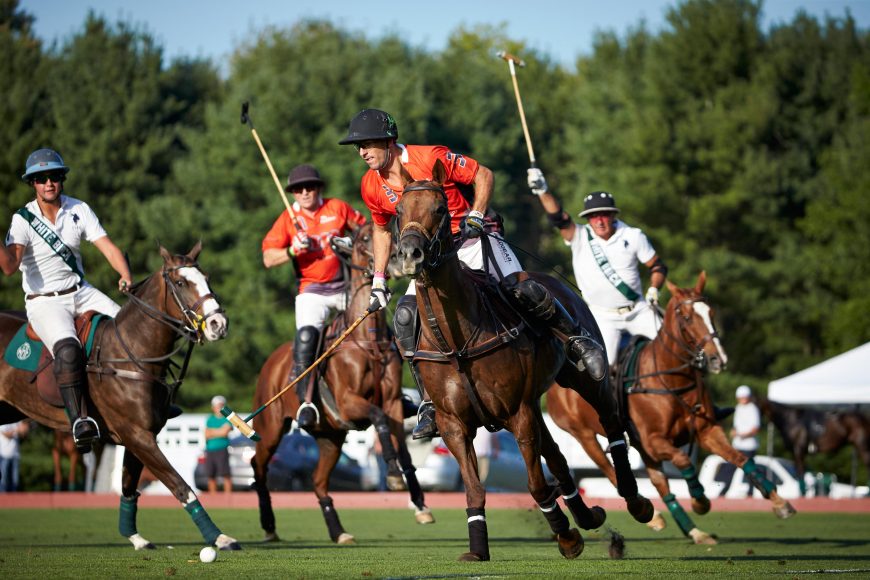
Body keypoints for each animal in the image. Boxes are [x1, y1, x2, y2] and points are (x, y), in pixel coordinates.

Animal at [0, 242, 238, 552]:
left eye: (207, 278)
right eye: (180, 283)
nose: (218, 324)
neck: (133, 354)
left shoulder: (141, 435)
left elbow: (128, 487)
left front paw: (135, 537)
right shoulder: (135, 434)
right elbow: (180, 486)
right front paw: (219, 537)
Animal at [250, 222, 430, 544]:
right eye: (365, 238)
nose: (399, 261)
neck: (369, 342)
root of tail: (272, 362)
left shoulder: (394, 402)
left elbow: (405, 448)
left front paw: (419, 503)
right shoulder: (349, 403)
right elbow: (379, 418)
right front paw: (393, 475)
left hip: (330, 438)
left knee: (318, 481)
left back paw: (338, 531)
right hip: (270, 427)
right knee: (257, 465)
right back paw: (269, 525)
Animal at [396, 160, 656, 560]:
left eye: (440, 208)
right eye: (397, 211)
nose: (410, 254)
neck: (457, 342)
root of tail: (558, 283)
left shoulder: (516, 411)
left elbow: (536, 485)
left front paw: (567, 537)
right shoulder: (454, 424)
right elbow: (475, 487)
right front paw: (478, 548)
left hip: (579, 379)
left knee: (611, 424)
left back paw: (636, 502)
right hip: (536, 402)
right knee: (559, 456)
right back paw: (589, 515)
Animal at [548, 272, 800, 544]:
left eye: (711, 312)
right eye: (687, 317)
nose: (718, 359)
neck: (671, 379)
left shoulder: (706, 430)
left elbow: (741, 458)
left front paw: (780, 503)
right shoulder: (654, 440)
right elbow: (684, 460)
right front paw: (700, 501)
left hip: (639, 446)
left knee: (660, 484)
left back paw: (692, 531)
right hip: (583, 434)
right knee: (610, 469)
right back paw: (654, 516)